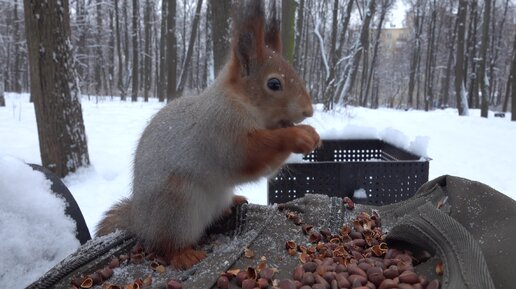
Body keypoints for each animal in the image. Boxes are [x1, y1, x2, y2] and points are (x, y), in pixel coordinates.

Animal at [95, 0, 318, 268]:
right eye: (274, 84)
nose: (308, 111)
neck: (240, 102)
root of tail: (141, 223)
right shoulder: (221, 131)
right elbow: (250, 154)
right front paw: (299, 136)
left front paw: (309, 133)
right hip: (177, 208)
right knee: (166, 244)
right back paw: (184, 254)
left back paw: (233, 203)